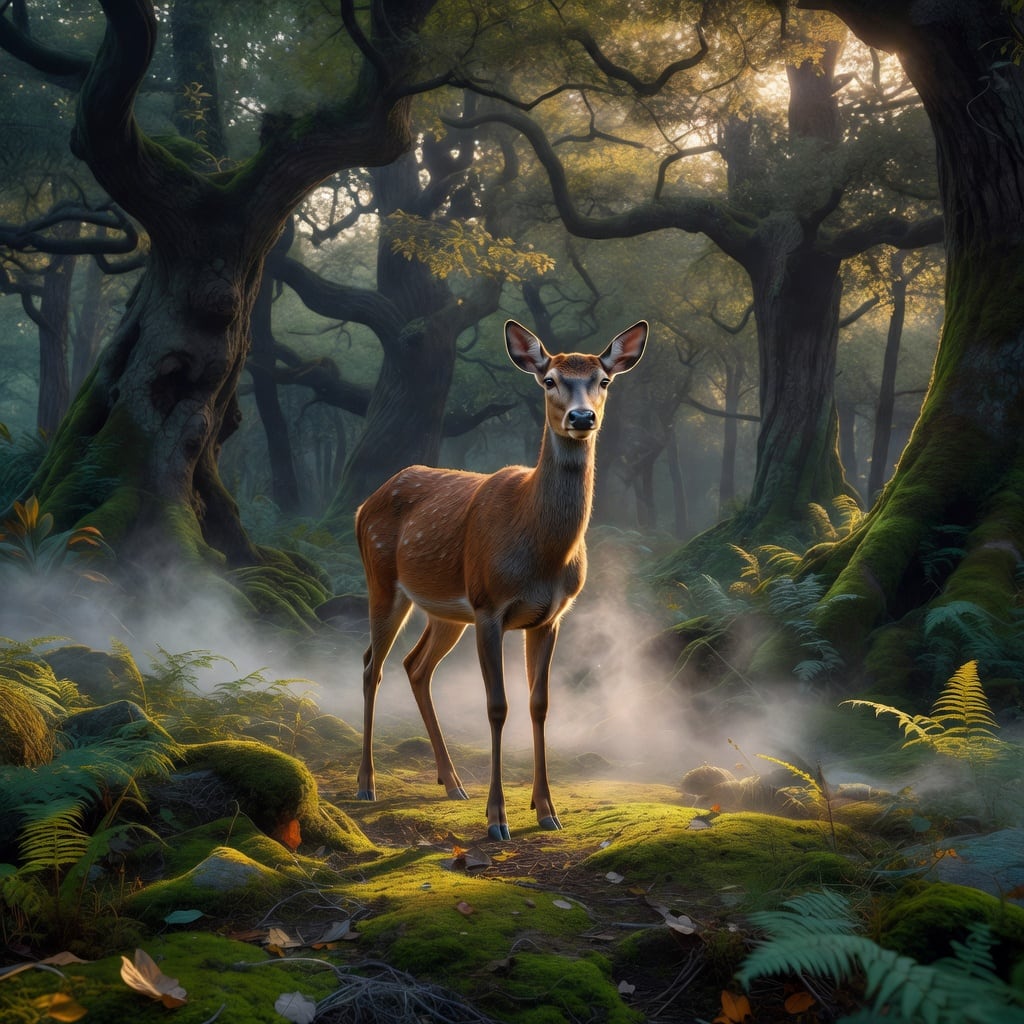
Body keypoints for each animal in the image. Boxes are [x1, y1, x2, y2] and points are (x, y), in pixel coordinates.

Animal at [354, 319, 648, 840]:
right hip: (384, 580)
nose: (582, 417)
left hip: (447, 612)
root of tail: (362, 506)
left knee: (415, 666)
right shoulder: (489, 606)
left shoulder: (550, 617)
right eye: (549, 380)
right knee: (373, 665)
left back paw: (452, 783)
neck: (540, 552)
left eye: (603, 380)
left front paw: (546, 809)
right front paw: (497, 819)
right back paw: (366, 784)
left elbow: (539, 703)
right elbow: (497, 706)